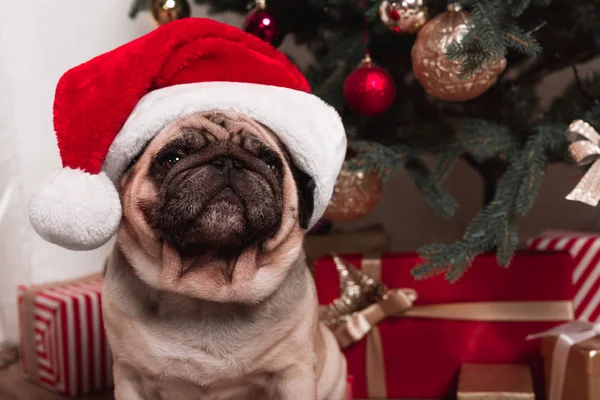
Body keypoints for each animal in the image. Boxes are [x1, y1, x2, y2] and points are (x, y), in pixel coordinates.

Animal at [102, 110, 346, 400]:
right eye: (171, 158)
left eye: (271, 164)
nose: (229, 161)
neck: (207, 292)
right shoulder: (130, 375)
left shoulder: (293, 372)